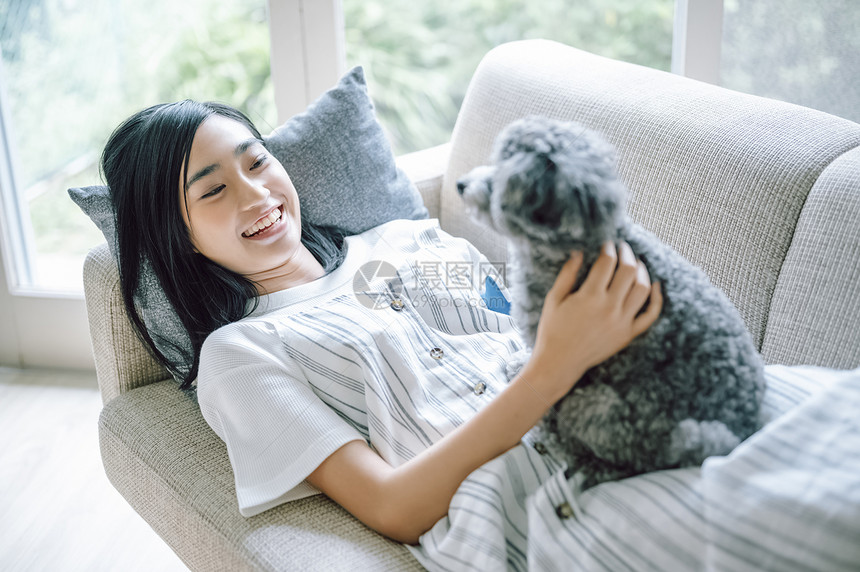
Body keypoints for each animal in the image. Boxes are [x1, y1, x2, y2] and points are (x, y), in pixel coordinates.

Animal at [456, 117, 764, 492]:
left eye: (501, 176)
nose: (460, 184)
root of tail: (740, 432)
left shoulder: (561, 358)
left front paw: (523, 378)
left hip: (598, 407)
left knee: (625, 461)